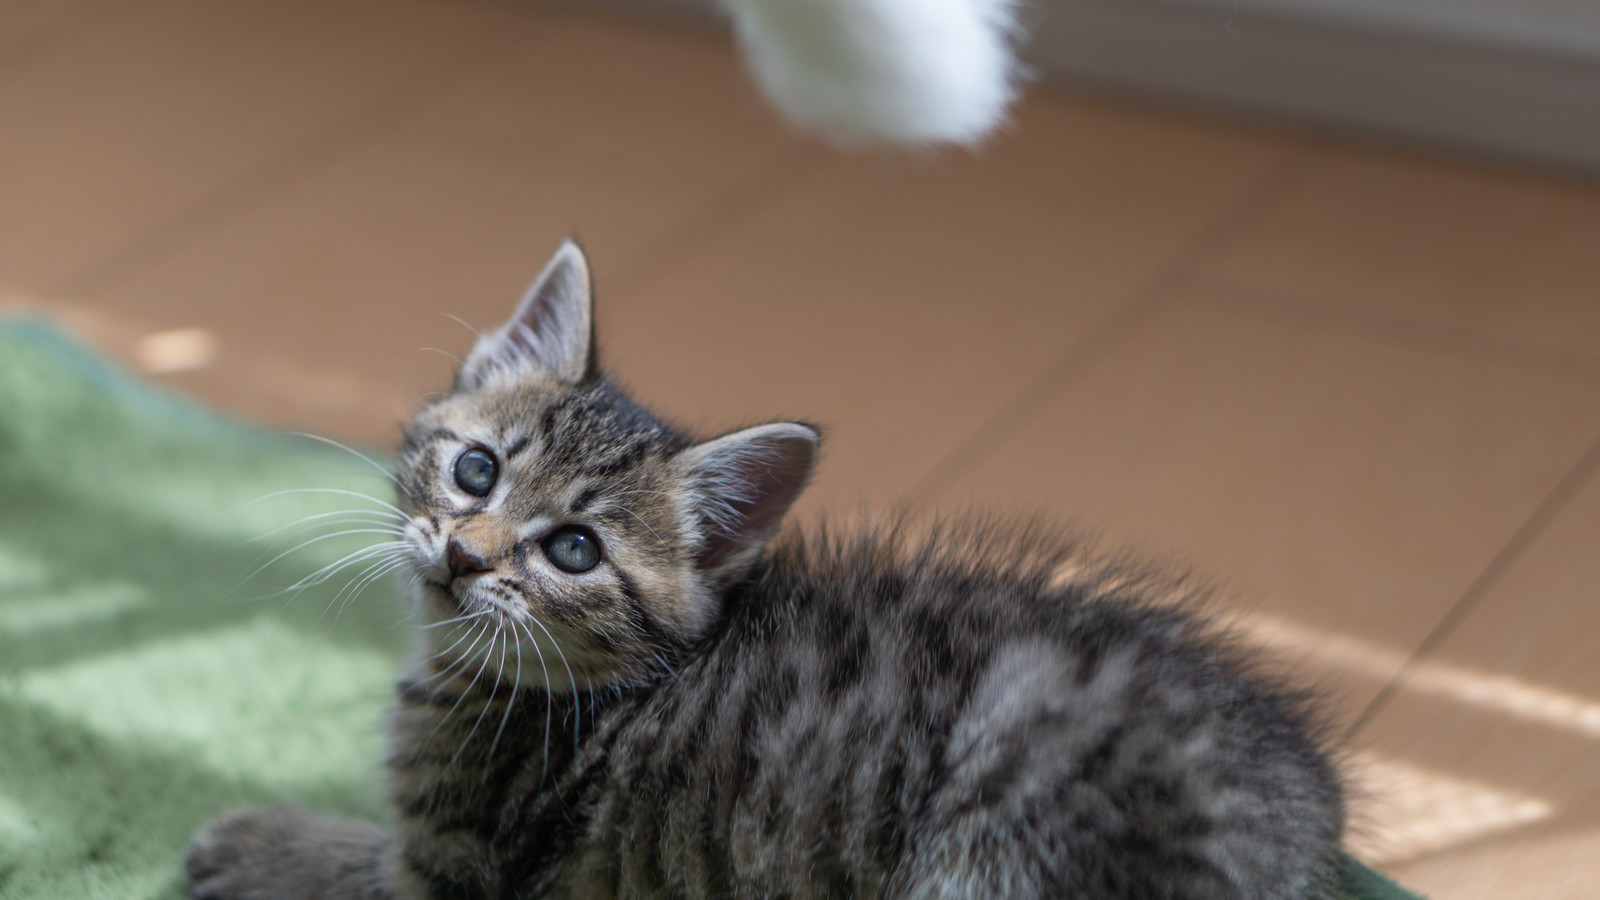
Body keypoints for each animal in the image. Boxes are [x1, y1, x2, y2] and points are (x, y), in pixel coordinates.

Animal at [184, 241, 1350, 890]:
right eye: (476, 470)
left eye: (574, 550)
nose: (465, 556)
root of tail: (1300, 826)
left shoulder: (468, 875)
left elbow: (362, 871)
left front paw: (261, 841)